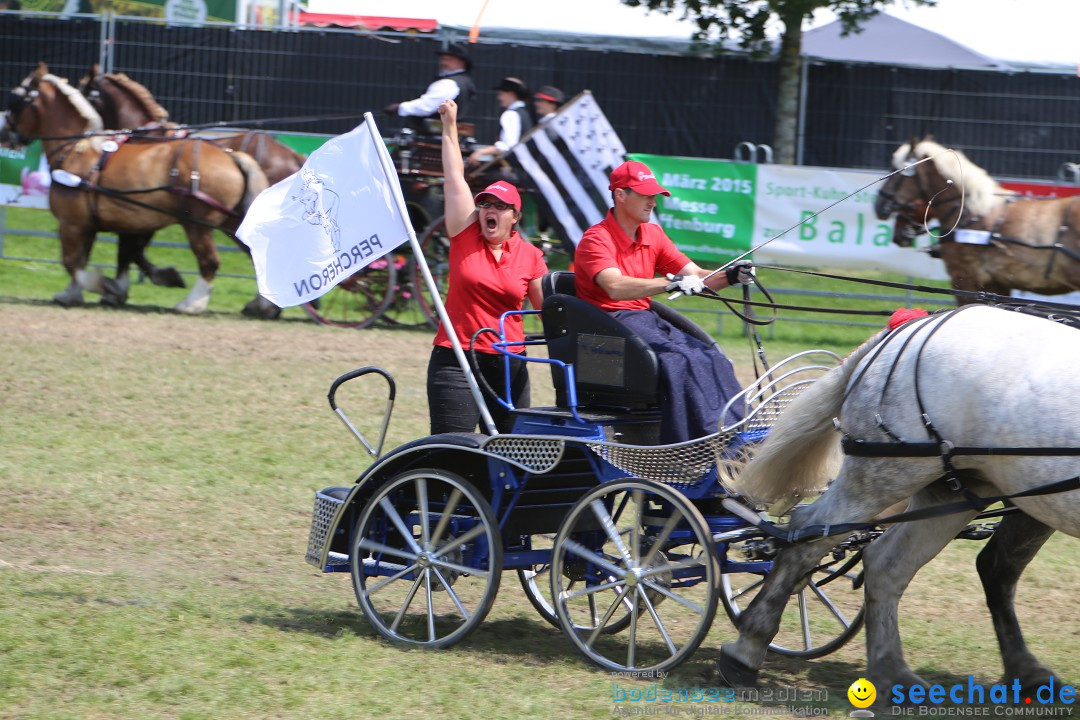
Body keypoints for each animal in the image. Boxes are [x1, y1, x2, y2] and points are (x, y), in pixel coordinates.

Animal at [0, 66, 267, 313]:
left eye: (15, 100)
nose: (4, 133)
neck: (75, 150)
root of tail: (231, 156)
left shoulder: (72, 224)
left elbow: (74, 262)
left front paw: (104, 286)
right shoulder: (94, 224)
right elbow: (95, 257)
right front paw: (74, 294)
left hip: (198, 226)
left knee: (210, 261)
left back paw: (192, 304)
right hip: (232, 222)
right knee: (256, 252)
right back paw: (263, 305)